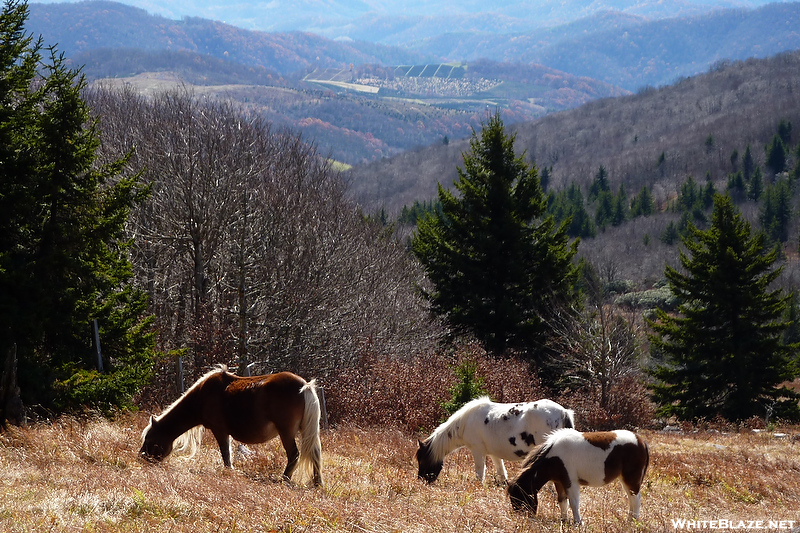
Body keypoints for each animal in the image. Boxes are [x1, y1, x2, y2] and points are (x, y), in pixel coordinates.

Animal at [140, 366, 322, 486]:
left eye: (150, 439)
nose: (142, 457)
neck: (202, 396)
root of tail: (305, 386)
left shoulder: (219, 430)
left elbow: (226, 455)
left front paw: (229, 472)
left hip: (286, 432)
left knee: (294, 455)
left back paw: (284, 480)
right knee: (315, 454)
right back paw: (317, 483)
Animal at [418, 396, 576, 484]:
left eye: (422, 460)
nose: (421, 480)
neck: (466, 422)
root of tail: (563, 412)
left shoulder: (477, 451)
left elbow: (480, 471)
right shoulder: (494, 453)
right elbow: (501, 471)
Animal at [506, 426, 648, 520]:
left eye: (520, 497)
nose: (521, 519)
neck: (554, 457)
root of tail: (641, 441)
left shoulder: (570, 482)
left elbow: (574, 502)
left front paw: (577, 523)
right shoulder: (559, 481)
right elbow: (562, 501)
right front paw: (564, 520)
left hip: (631, 478)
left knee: (636, 499)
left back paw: (632, 522)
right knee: (631, 498)